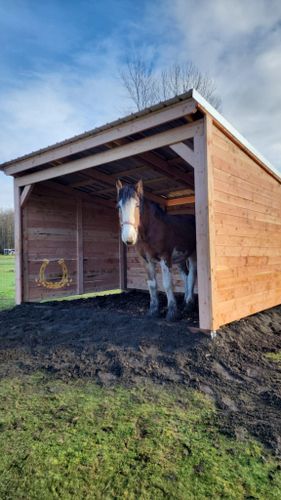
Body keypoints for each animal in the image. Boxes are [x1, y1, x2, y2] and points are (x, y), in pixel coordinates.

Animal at [115, 180, 196, 320]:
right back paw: (185, 300)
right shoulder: (146, 261)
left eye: (137, 205)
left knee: (191, 276)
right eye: (119, 207)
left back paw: (189, 304)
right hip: (180, 258)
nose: (128, 238)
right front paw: (153, 311)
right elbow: (152, 285)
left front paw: (172, 312)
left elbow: (167, 284)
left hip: (193, 255)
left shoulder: (165, 258)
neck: (150, 231)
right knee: (185, 276)